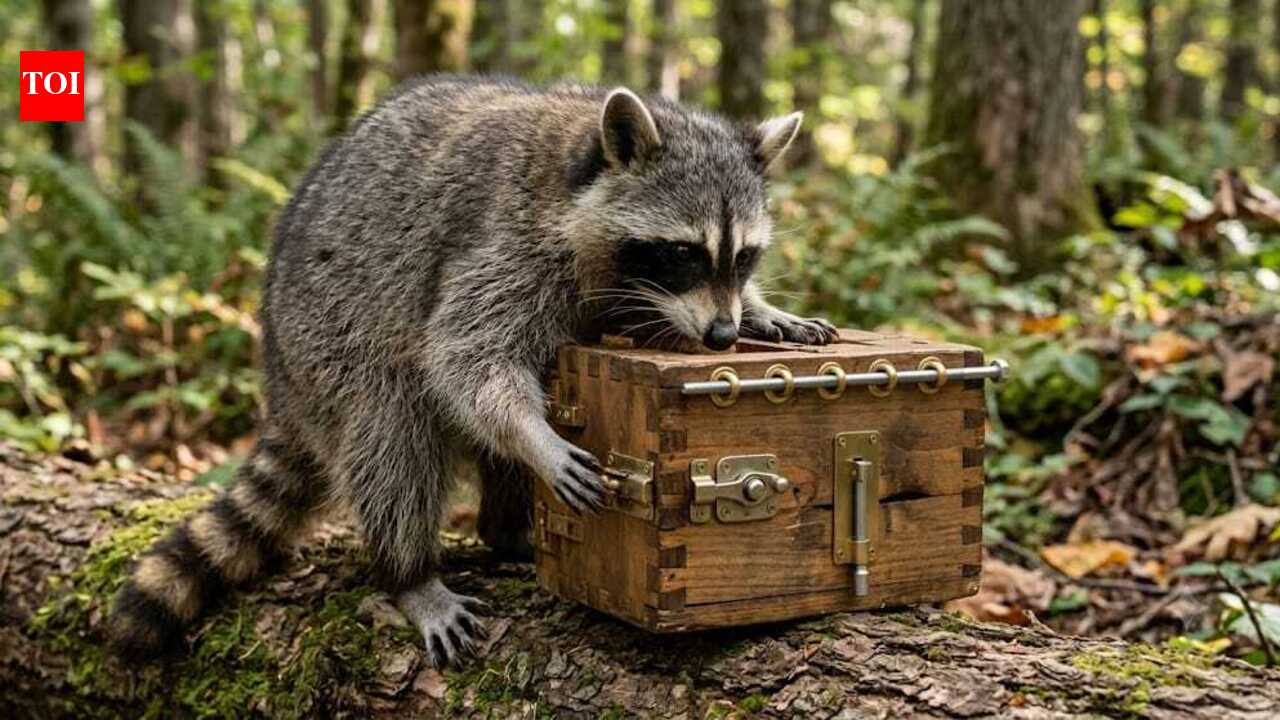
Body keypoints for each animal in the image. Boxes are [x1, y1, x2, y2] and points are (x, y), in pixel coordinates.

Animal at [107, 76, 836, 668]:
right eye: (682, 253)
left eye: (743, 257)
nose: (722, 335)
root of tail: (281, 384)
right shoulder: (508, 241)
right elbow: (464, 356)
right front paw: (534, 437)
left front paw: (763, 312)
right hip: (325, 340)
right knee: (391, 428)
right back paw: (409, 572)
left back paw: (506, 530)